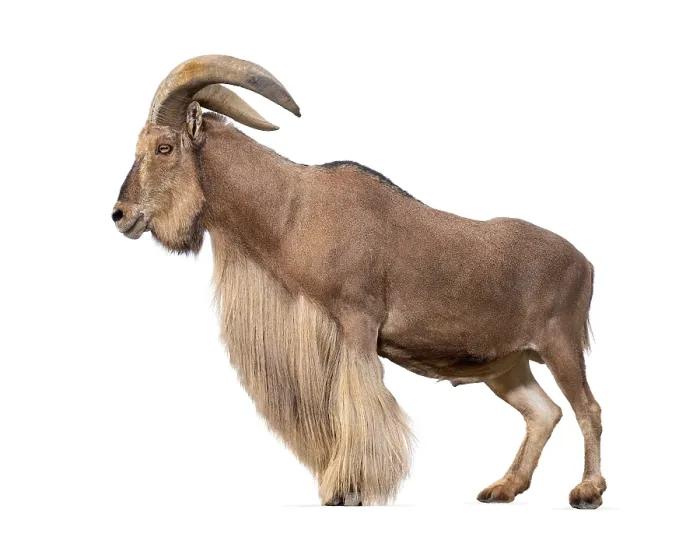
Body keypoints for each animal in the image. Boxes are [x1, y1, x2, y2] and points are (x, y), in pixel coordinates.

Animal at [112, 55, 605, 508]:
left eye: (164, 148)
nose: (120, 215)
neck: (291, 210)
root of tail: (585, 263)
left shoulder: (357, 323)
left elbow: (358, 403)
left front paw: (349, 489)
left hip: (560, 345)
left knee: (587, 409)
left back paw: (587, 491)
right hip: (508, 366)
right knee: (544, 413)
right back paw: (504, 487)